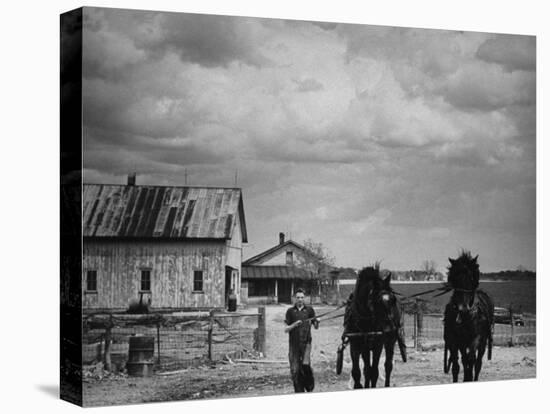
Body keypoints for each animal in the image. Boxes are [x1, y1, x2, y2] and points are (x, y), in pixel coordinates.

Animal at [444, 249, 496, 382]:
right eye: (455, 278)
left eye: (472, 278)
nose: (463, 308)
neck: (466, 317)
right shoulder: (457, 340)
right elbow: (460, 363)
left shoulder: (476, 338)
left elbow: (471, 360)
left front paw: (469, 377)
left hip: (483, 342)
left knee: (477, 363)